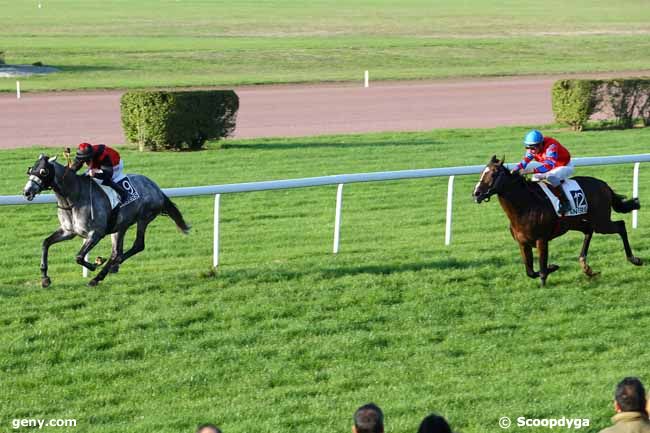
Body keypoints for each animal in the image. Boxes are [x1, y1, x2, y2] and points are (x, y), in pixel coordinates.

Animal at [23, 154, 190, 286]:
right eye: (31, 170)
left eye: (43, 171)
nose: (27, 192)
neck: (74, 197)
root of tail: (156, 188)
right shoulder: (68, 231)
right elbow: (45, 243)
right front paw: (45, 278)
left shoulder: (95, 234)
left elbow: (79, 257)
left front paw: (95, 264)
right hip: (121, 225)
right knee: (117, 252)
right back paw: (108, 270)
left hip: (143, 218)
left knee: (137, 245)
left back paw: (100, 275)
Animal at [470, 157, 636, 286]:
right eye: (482, 172)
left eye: (493, 174)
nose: (476, 193)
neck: (526, 206)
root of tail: (604, 184)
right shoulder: (522, 243)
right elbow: (530, 271)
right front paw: (553, 267)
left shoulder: (542, 240)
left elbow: (542, 267)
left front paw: (547, 276)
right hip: (576, 222)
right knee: (588, 230)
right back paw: (586, 267)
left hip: (601, 221)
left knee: (620, 225)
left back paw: (634, 259)